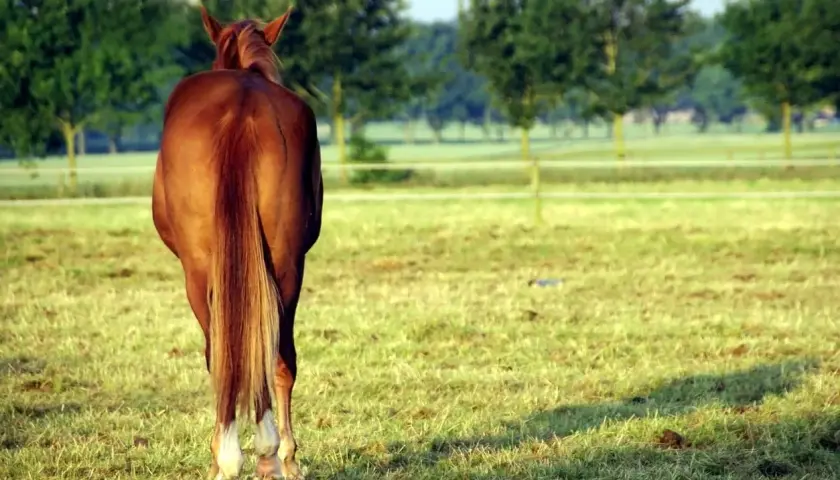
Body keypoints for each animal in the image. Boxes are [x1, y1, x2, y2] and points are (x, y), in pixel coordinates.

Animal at [151, 5, 322, 479]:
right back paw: (267, 453)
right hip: (286, 265)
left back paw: (243, 456)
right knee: (276, 356)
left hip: (198, 273)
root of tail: (241, 110)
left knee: (228, 357)